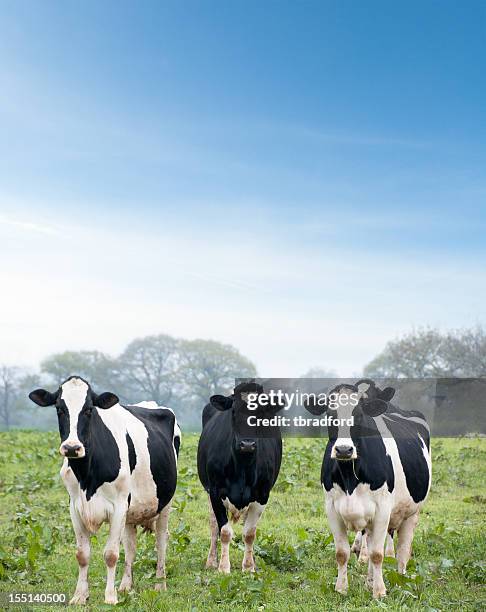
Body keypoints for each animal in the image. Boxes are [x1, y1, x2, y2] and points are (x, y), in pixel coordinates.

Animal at [28, 376, 180, 604]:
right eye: (59, 409)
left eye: (89, 409)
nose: (71, 447)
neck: (87, 477)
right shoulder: (75, 507)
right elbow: (82, 554)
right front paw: (80, 596)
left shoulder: (118, 506)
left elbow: (111, 554)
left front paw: (110, 596)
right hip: (131, 511)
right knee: (131, 545)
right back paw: (125, 586)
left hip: (164, 502)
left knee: (161, 540)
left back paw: (160, 584)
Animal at [196, 382, 280, 572]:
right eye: (233, 411)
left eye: (260, 413)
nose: (247, 444)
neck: (243, 467)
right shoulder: (216, 492)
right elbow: (224, 531)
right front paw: (223, 567)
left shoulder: (262, 495)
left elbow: (249, 534)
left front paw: (248, 567)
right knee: (213, 526)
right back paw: (211, 561)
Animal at [306, 378, 430, 596]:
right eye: (330, 413)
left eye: (359, 413)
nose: (344, 449)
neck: (350, 476)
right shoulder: (332, 509)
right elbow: (342, 553)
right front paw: (341, 588)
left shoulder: (382, 509)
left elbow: (377, 554)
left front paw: (379, 592)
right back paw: (369, 580)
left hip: (412, 512)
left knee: (403, 550)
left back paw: (400, 580)